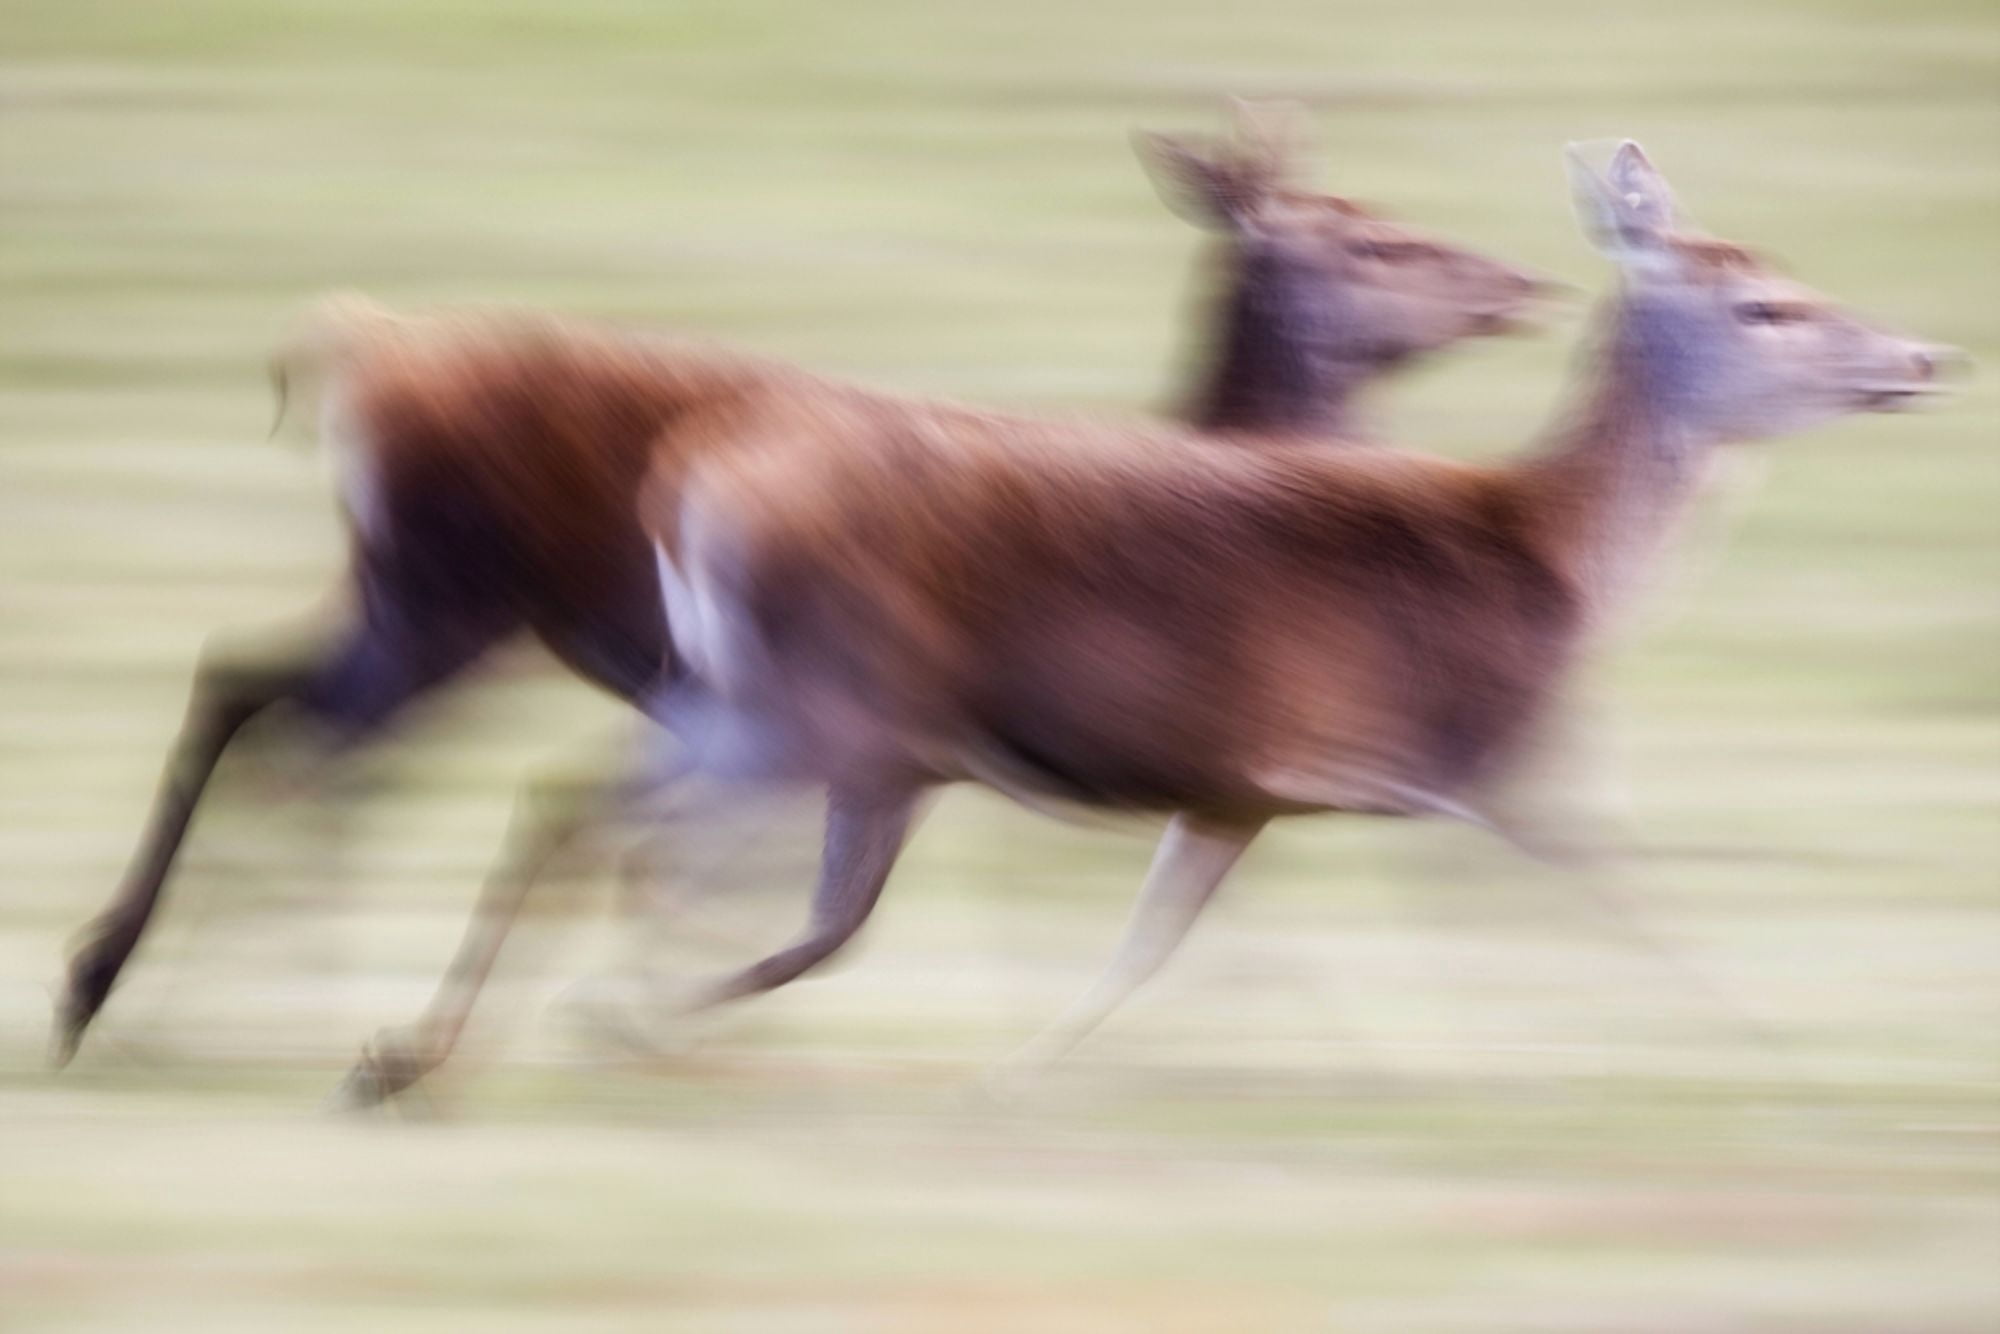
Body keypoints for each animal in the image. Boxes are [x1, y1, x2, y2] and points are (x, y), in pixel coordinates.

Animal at [52, 102, 1555, 1073]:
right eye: (1365, 237)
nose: (1520, 281)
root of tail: (352, 349)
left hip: (402, 593)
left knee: (249, 691)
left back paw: (120, 986)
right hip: (447, 595)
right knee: (309, 743)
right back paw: (171, 994)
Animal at [314, 139, 1955, 1109]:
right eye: (1761, 308)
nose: (1924, 355)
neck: (1554, 556)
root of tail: (702, 479)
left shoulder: (1240, 790)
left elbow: (1142, 951)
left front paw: (1024, 1069)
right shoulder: (1486, 750)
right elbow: (1631, 904)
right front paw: (1792, 1055)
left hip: (774, 709)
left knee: (583, 808)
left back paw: (443, 1048)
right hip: (822, 705)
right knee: (648, 838)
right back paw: (559, 1030)